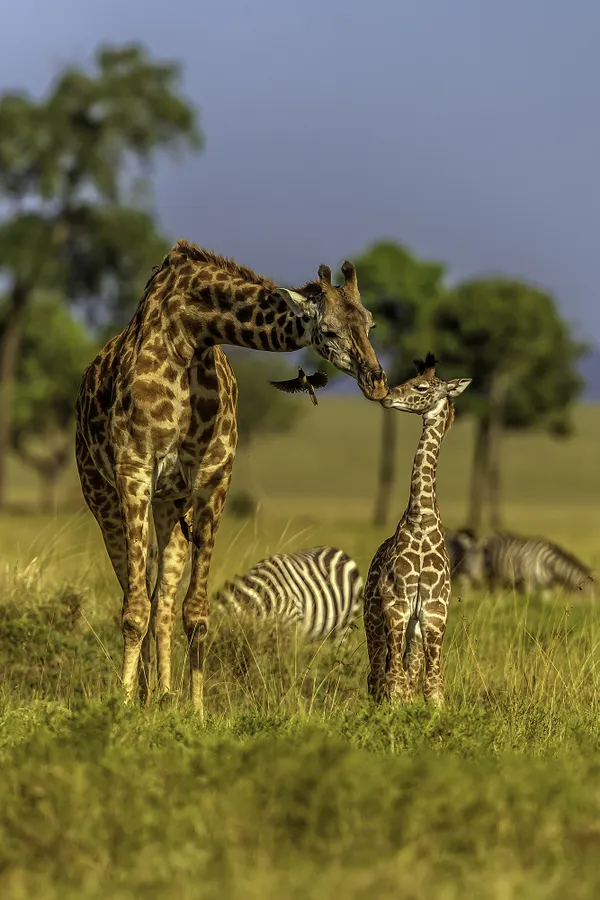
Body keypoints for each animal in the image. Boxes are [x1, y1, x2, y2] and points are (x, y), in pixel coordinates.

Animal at [364, 356, 472, 708]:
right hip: (373, 616)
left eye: (421, 387)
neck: (421, 518)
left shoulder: (434, 611)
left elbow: (432, 686)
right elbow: (394, 682)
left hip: (411, 623)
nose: (386, 397)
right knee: (377, 675)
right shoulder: (396, 604)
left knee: (404, 673)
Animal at [442, 528, 592, 596]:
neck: (548, 563)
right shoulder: (528, 579)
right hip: (492, 574)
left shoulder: (547, 586)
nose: (592, 608)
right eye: (592, 593)